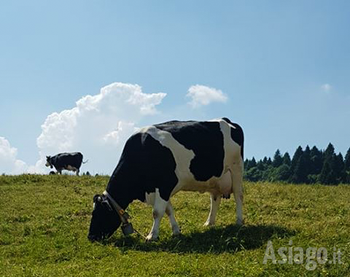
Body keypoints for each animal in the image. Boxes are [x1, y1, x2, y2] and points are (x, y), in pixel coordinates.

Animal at [89, 117, 245, 240]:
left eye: (97, 213)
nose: (90, 237)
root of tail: (227, 120)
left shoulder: (165, 185)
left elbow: (157, 212)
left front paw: (152, 235)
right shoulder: (160, 188)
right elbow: (168, 210)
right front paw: (176, 231)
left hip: (236, 168)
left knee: (238, 195)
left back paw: (239, 221)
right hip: (215, 179)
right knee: (215, 199)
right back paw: (209, 223)